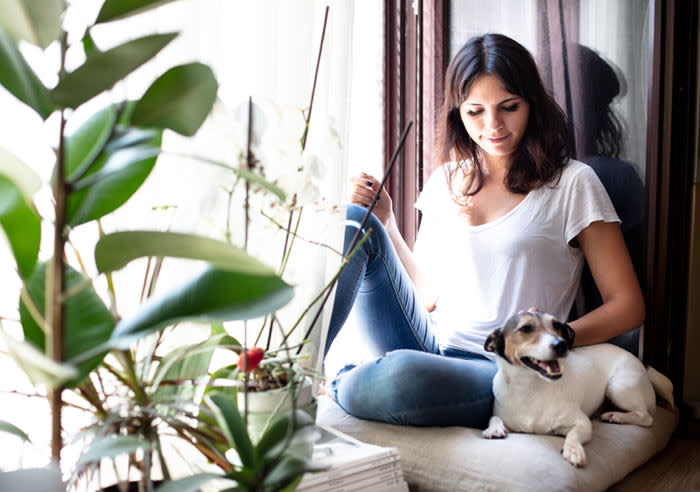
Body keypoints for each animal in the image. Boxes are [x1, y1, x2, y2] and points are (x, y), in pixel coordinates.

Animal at [482, 314, 672, 468]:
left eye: (557, 325)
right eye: (526, 328)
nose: (561, 345)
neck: (530, 388)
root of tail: (642, 363)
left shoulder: (583, 423)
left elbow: (573, 434)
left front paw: (573, 450)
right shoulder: (505, 416)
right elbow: (494, 418)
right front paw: (494, 429)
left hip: (619, 388)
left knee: (645, 417)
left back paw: (617, 416)